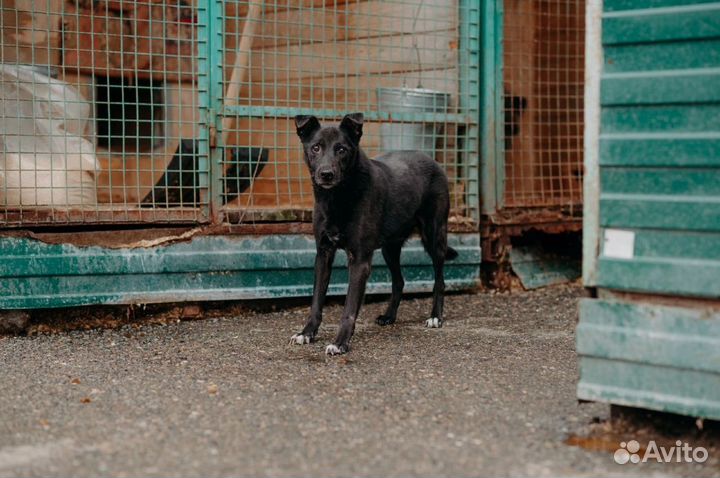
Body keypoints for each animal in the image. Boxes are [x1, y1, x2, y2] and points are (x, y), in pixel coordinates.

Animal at [286, 113, 456, 354]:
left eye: (342, 149)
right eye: (316, 148)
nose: (326, 174)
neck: (338, 198)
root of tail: (432, 160)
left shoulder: (359, 260)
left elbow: (349, 309)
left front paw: (340, 342)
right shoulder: (323, 254)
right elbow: (316, 301)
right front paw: (307, 333)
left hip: (434, 237)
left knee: (439, 280)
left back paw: (435, 317)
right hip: (389, 248)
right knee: (399, 281)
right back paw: (389, 316)